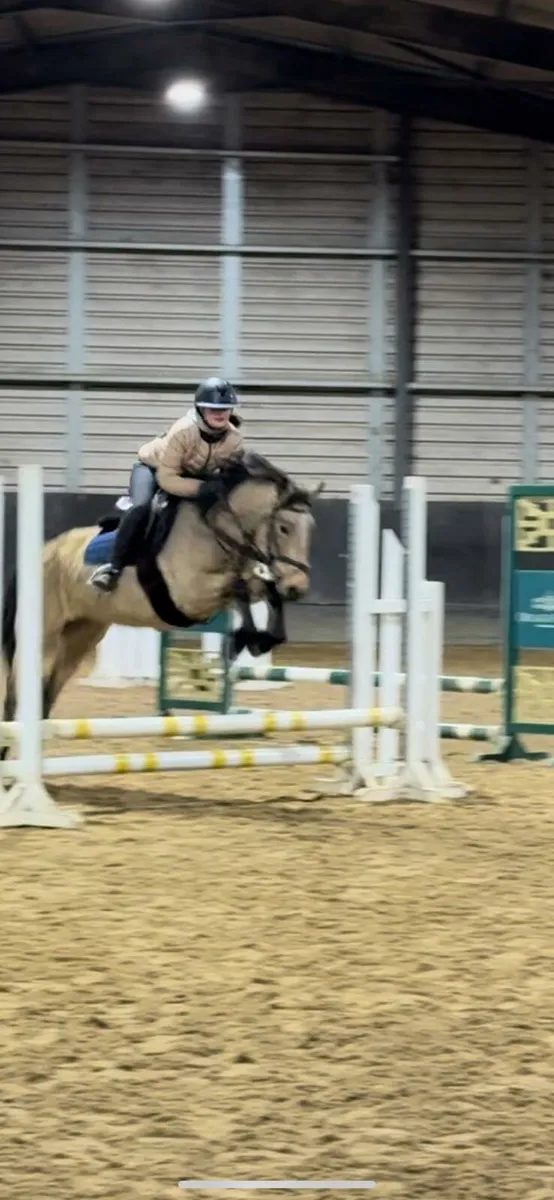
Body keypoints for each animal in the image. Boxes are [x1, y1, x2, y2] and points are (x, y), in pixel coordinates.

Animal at [0, 453, 322, 740]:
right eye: (284, 528)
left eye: (311, 529)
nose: (298, 588)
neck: (214, 530)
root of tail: (44, 550)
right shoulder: (189, 595)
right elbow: (239, 587)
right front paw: (244, 639)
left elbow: (259, 590)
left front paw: (258, 640)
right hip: (44, 636)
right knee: (16, 695)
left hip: (81, 635)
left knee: (46, 693)